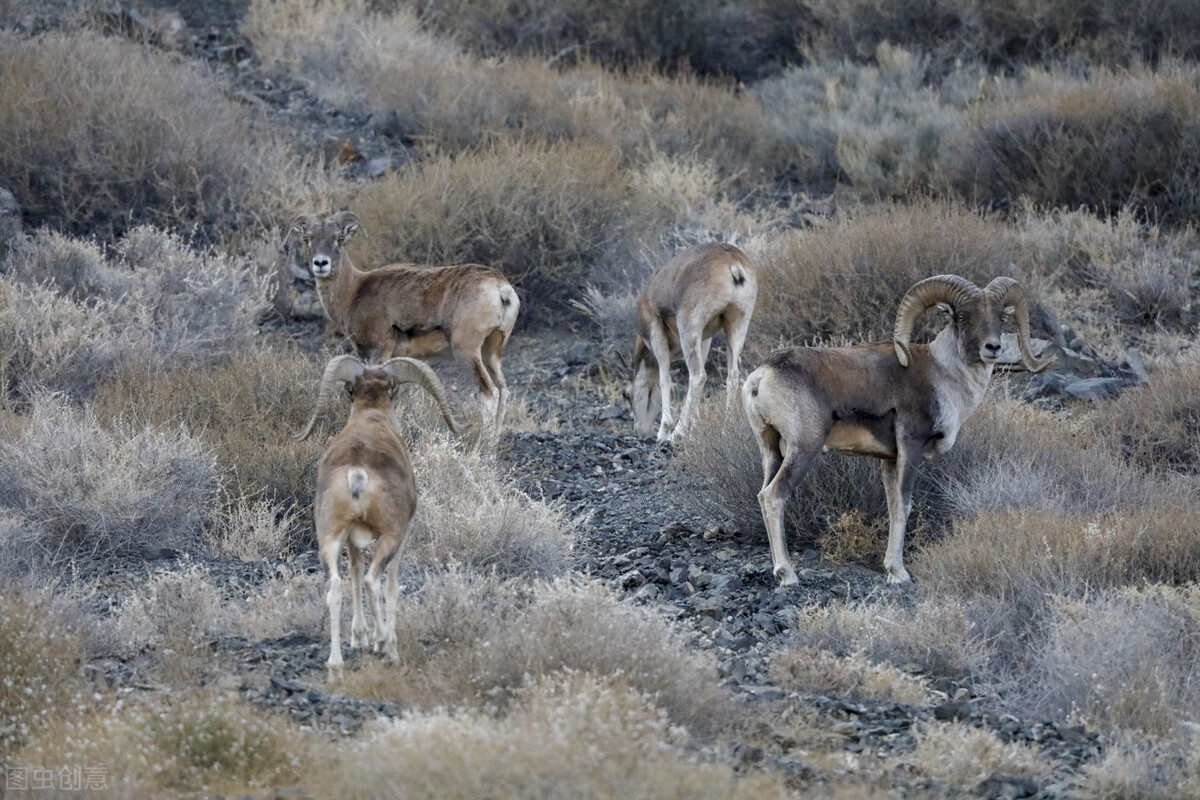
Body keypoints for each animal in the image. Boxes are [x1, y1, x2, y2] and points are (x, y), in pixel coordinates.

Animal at [290, 212, 520, 448]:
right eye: (307, 238)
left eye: (340, 238)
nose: (321, 263)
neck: (354, 292)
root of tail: (500, 288)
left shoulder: (379, 352)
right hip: (491, 353)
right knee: (503, 390)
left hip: (467, 352)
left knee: (489, 394)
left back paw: (484, 449)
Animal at [296, 357, 463, 676]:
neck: (372, 418)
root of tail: (356, 473)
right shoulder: (402, 535)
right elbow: (391, 587)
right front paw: (380, 641)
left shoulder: (351, 541)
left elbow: (354, 573)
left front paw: (359, 637)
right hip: (390, 538)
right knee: (373, 581)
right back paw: (386, 645)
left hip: (330, 539)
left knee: (336, 588)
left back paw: (335, 663)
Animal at [624, 244, 753, 443]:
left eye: (627, 395)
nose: (641, 433)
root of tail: (734, 265)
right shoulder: (705, 338)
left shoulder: (656, 333)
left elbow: (664, 379)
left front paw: (664, 432)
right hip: (737, 325)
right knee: (732, 376)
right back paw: (726, 428)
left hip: (688, 329)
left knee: (698, 376)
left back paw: (677, 433)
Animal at [744, 278, 1046, 585]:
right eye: (963, 316)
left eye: (1001, 317)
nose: (992, 347)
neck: (943, 375)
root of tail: (762, 376)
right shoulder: (910, 448)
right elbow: (904, 505)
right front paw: (900, 574)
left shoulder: (890, 460)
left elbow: (892, 506)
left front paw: (890, 569)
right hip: (804, 448)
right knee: (774, 496)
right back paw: (788, 574)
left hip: (771, 451)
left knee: (763, 495)